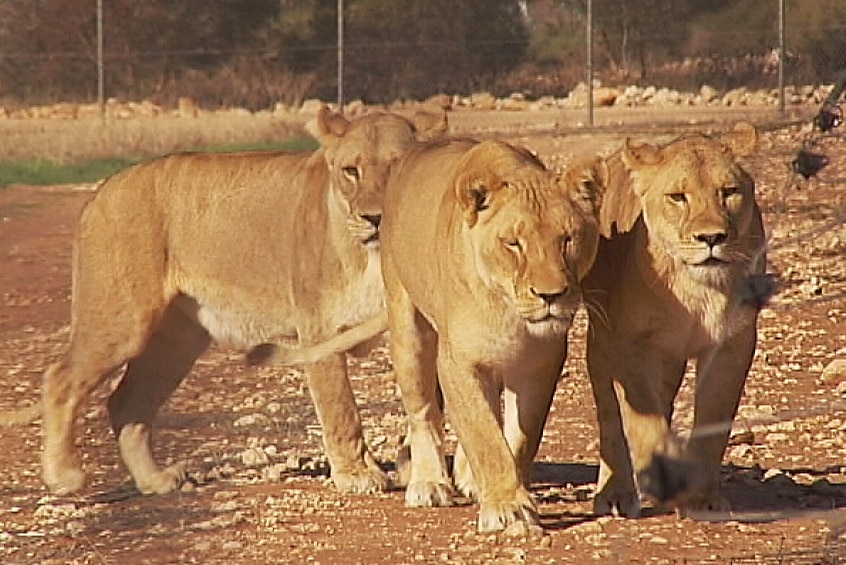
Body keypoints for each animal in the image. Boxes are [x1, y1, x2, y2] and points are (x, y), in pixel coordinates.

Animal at [16, 104, 448, 494]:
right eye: (351, 171)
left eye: (396, 166)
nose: (375, 218)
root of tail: (103, 189)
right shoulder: (319, 328)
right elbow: (340, 407)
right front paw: (358, 475)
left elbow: (429, 397)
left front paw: (416, 467)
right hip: (121, 322)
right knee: (60, 379)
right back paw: (64, 476)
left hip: (176, 342)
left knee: (126, 402)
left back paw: (155, 481)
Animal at [380, 139, 608, 532]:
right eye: (513, 243)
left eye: (568, 239)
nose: (551, 295)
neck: (510, 312)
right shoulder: (458, 362)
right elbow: (484, 435)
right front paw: (508, 506)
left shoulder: (540, 365)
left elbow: (517, 436)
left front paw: (507, 490)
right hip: (409, 329)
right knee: (423, 412)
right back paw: (429, 483)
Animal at [584, 122, 768, 516]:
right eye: (678, 197)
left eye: (728, 192)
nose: (712, 237)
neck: (697, 289)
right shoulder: (630, 342)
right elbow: (643, 418)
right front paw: (665, 477)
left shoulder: (733, 343)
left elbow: (715, 416)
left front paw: (703, 498)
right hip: (602, 338)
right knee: (610, 415)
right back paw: (616, 493)